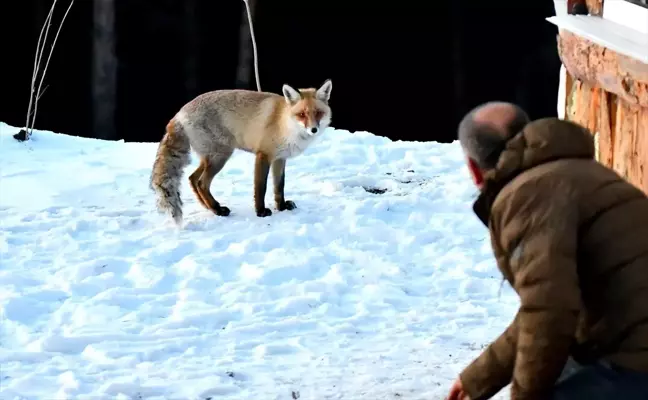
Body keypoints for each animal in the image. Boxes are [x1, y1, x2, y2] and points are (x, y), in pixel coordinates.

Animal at [151, 79, 334, 225]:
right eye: (302, 114)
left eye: (318, 113)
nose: (314, 129)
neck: (285, 124)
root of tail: (179, 113)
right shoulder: (263, 155)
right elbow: (261, 187)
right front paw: (261, 212)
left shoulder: (280, 159)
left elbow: (279, 187)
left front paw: (281, 207)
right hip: (220, 156)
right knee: (202, 182)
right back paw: (217, 209)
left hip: (210, 158)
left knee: (193, 179)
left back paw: (212, 208)